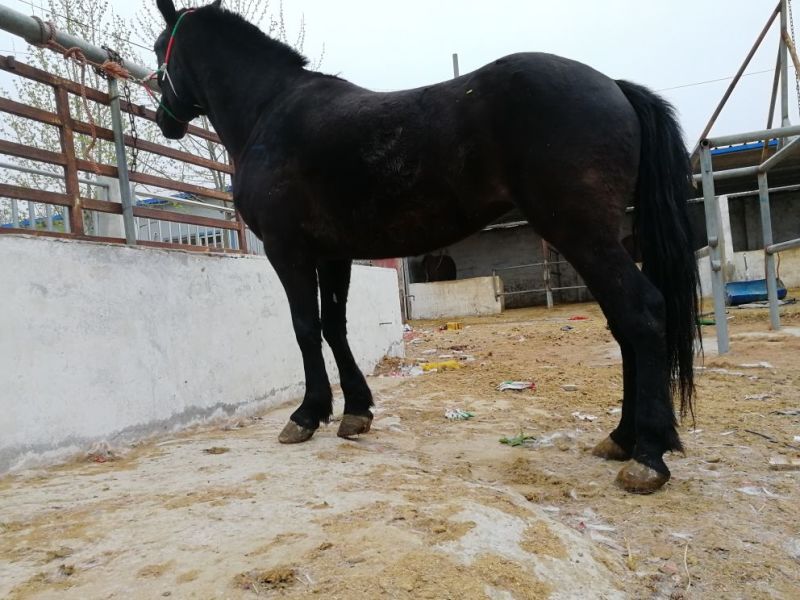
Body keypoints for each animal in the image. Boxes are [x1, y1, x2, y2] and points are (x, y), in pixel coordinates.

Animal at [153, 0, 700, 494]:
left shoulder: (289, 251)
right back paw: (621, 439)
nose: (164, 120)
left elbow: (306, 328)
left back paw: (648, 456)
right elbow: (334, 327)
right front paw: (356, 411)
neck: (270, 110)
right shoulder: (333, 253)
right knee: (624, 326)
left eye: (162, 50)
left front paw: (307, 415)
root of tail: (614, 86)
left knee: (642, 313)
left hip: (582, 234)